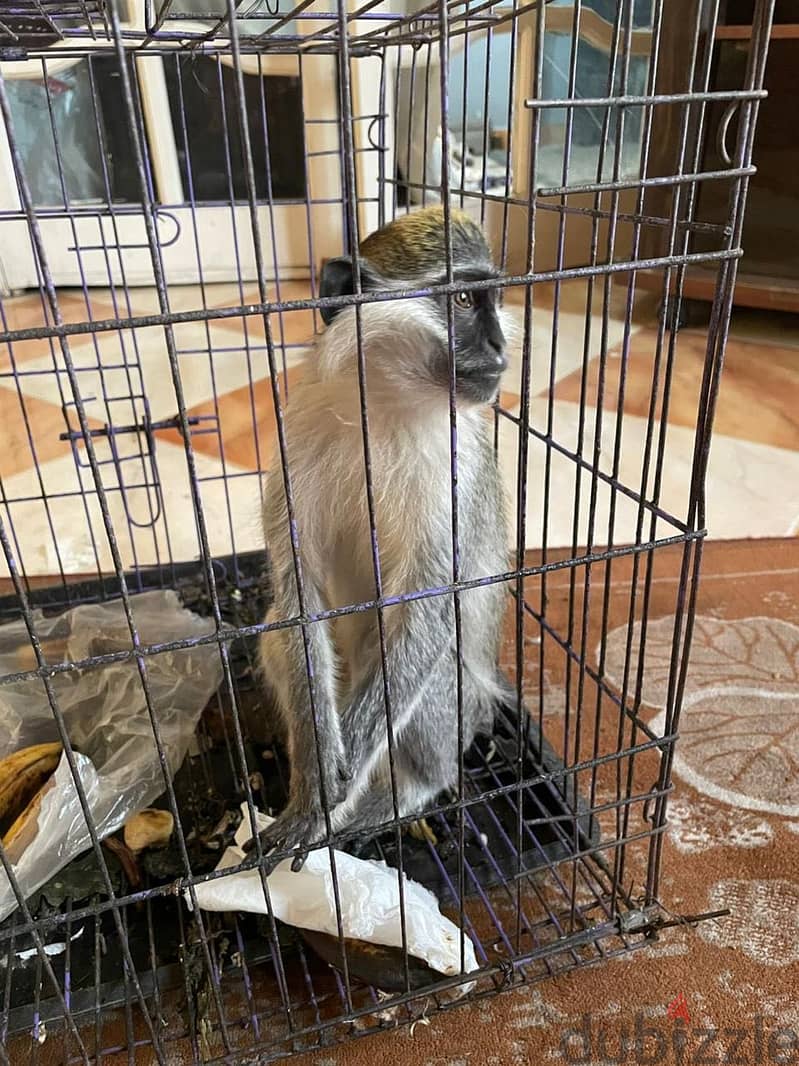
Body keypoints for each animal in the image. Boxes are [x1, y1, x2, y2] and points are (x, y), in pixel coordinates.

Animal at [249, 206, 512, 869]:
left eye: (493, 299)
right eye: (464, 299)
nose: (501, 346)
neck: (385, 405)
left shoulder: (452, 470)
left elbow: (429, 611)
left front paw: (327, 807)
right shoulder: (296, 440)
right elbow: (297, 599)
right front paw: (315, 779)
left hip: (457, 710)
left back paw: (401, 796)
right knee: (274, 633)